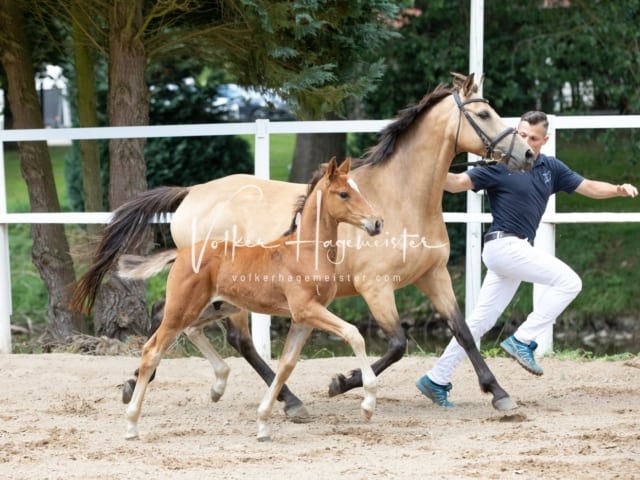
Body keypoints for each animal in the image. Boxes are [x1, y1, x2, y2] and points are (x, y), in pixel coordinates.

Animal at [72, 73, 536, 418]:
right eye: (483, 113)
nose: (527, 154)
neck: (400, 196)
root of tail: (191, 194)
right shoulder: (375, 287)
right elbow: (396, 344)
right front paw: (341, 383)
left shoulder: (433, 276)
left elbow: (464, 332)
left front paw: (499, 394)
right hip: (226, 295)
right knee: (234, 339)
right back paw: (288, 401)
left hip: (213, 294)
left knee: (173, 321)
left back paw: (146, 382)